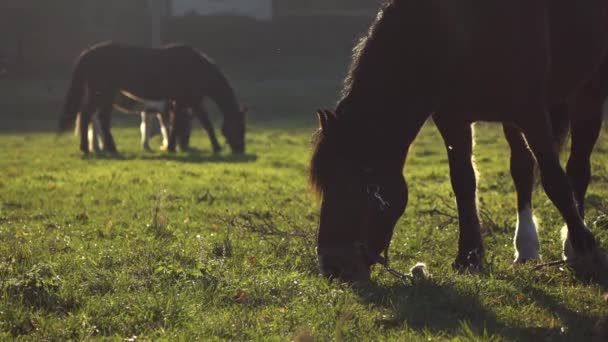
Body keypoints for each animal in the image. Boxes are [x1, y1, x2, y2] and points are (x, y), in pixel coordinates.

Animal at [58, 41, 246, 155]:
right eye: (238, 127)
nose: (240, 149)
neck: (197, 68)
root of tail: (88, 53)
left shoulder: (187, 101)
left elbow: (181, 124)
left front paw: (171, 147)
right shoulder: (188, 101)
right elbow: (198, 124)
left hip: (105, 95)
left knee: (98, 119)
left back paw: (108, 148)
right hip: (102, 93)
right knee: (88, 116)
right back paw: (89, 148)